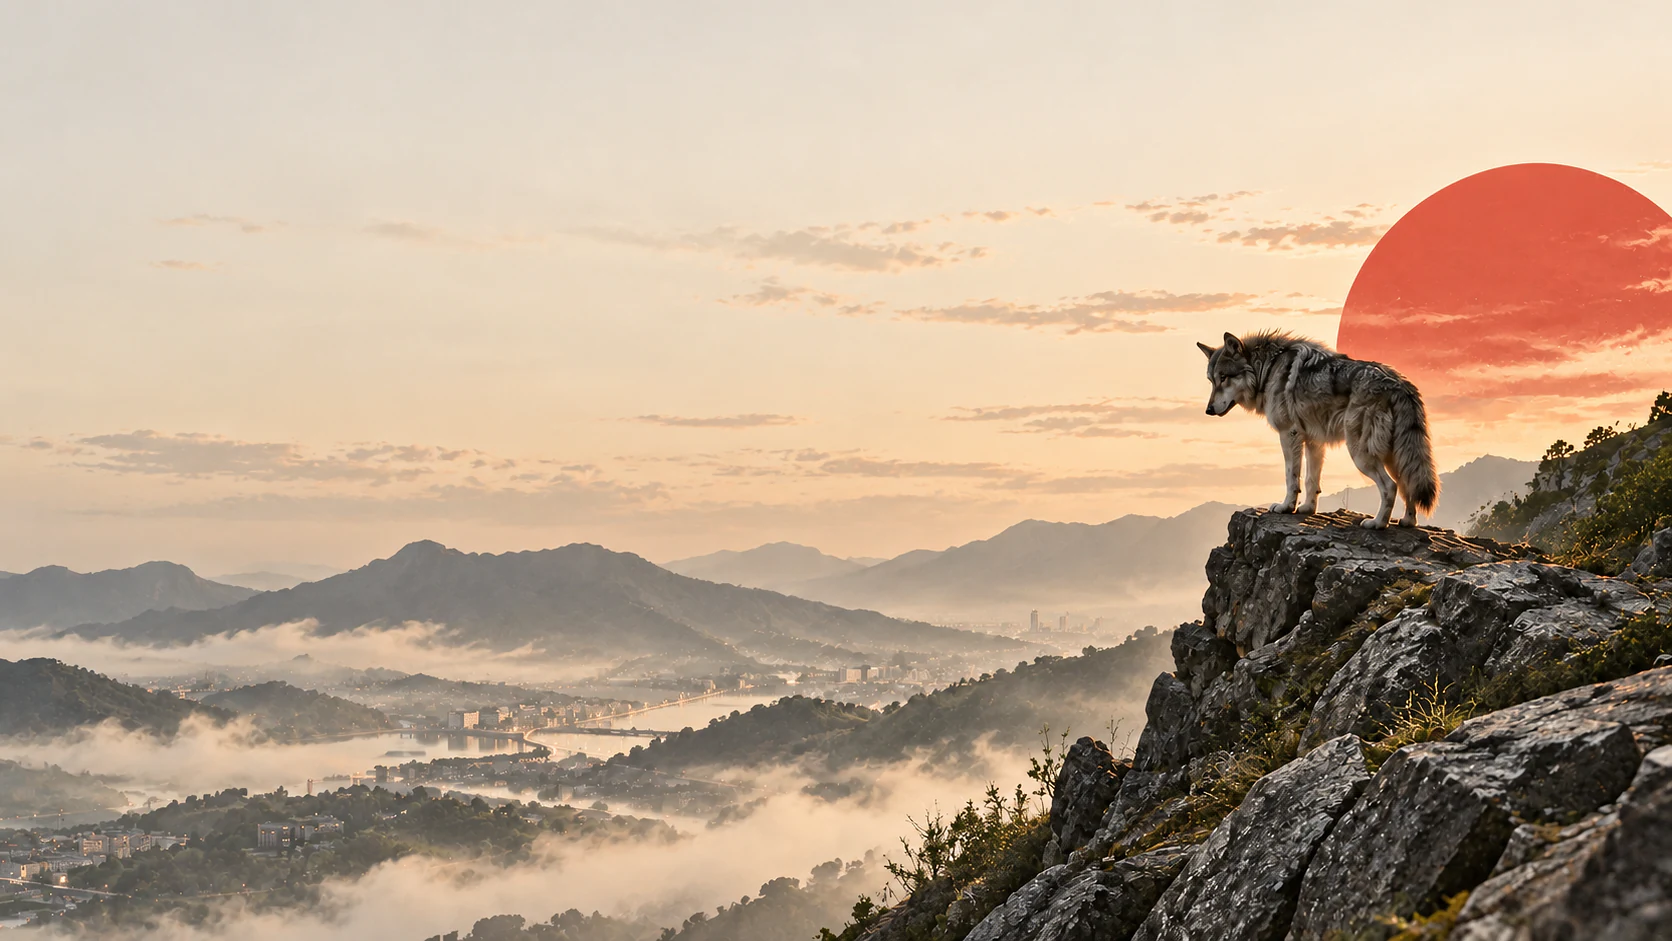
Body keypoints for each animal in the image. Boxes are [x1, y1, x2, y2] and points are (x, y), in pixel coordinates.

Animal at [1197, 330, 1439, 529]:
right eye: (1211, 381)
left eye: (1223, 378)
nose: (1208, 410)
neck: (1267, 370)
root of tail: (1401, 384)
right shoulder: (1314, 441)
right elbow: (1311, 480)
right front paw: (1307, 509)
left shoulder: (1289, 434)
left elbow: (1291, 477)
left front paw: (1286, 507)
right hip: (1393, 456)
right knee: (1408, 484)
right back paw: (1407, 522)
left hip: (1361, 455)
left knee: (1390, 487)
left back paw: (1377, 523)